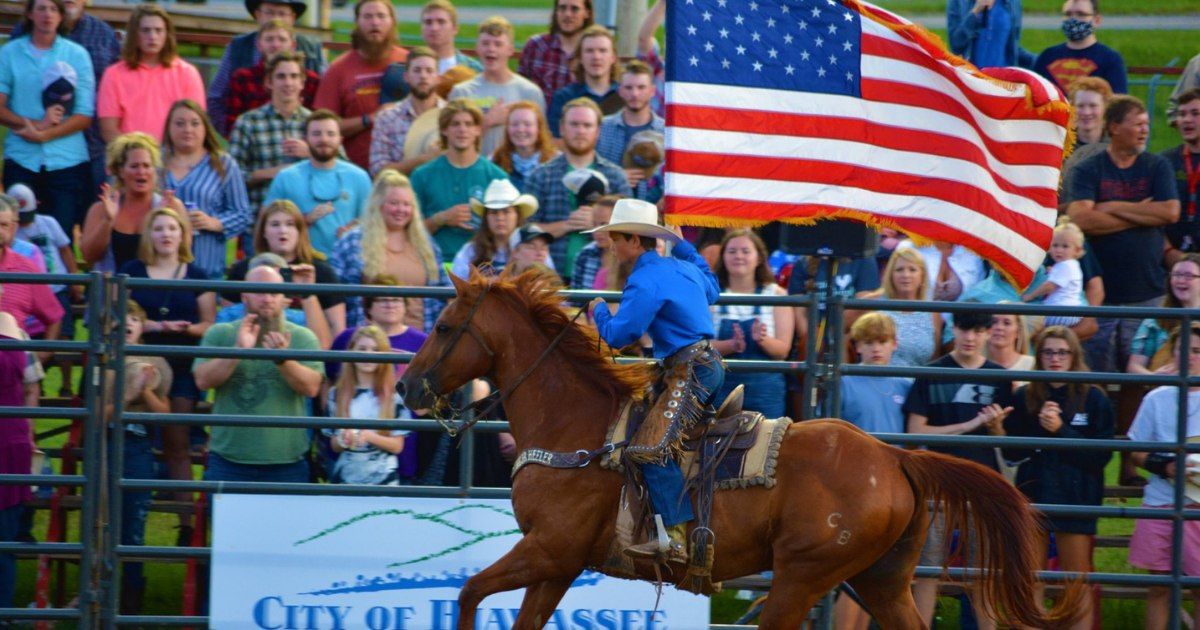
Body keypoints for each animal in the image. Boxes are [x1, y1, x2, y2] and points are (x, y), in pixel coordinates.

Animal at [400, 271, 1080, 628]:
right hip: (883, 578)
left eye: (444, 326)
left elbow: (469, 591)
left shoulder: (548, 549)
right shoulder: (559, 563)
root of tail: (895, 458)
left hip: (802, 577)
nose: (407, 386)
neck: (575, 429)